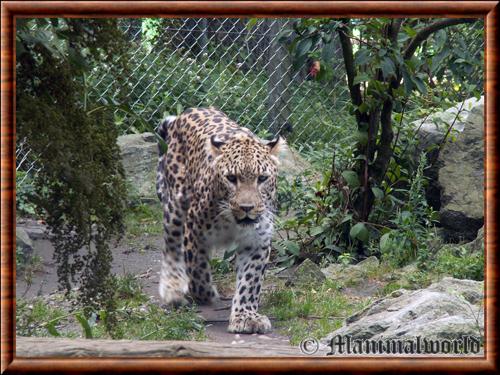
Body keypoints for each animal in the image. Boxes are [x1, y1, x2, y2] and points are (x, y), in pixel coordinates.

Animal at [155, 107, 282, 334]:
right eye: (231, 178)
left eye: (262, 178)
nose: (247, 208)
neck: (232, 222)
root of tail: (186, 112)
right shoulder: (194, 230)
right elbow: (196, 268)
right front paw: (206, 294)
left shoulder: (257, 241)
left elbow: (250, 281)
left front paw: (245, 317)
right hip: (176, 204)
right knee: (171, 244)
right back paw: (173, 288)